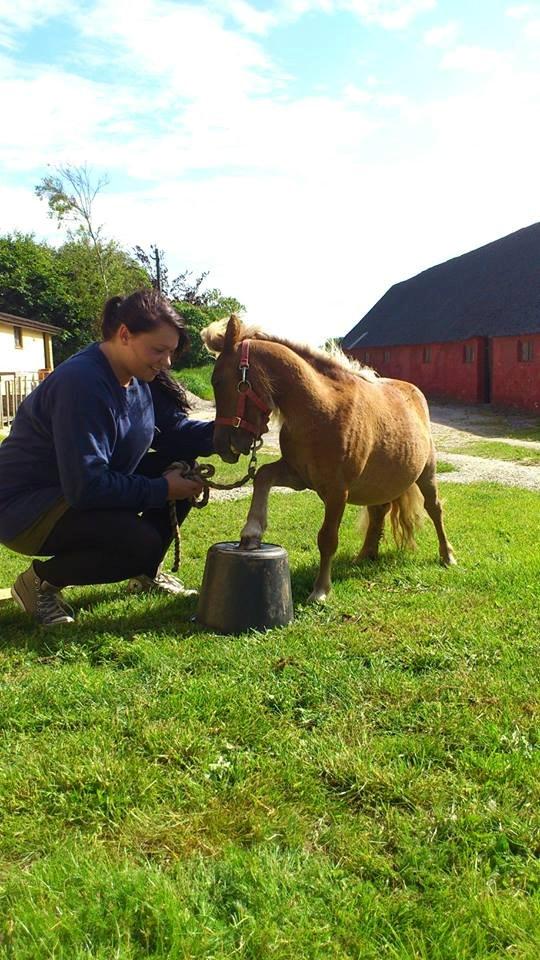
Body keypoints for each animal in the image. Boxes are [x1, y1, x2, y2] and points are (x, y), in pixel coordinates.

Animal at [202, 316, 456, 600]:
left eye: (218, 381)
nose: (222, 444)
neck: (321, 408)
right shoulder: (299, 476)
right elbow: (263, 476)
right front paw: (251, 533)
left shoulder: (336, 491)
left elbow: (327, 539)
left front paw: (321, 590)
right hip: (378, 485)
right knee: (378, 512)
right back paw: (365, 554)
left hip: (427, 475)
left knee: (434, 509)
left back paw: (447, 556)